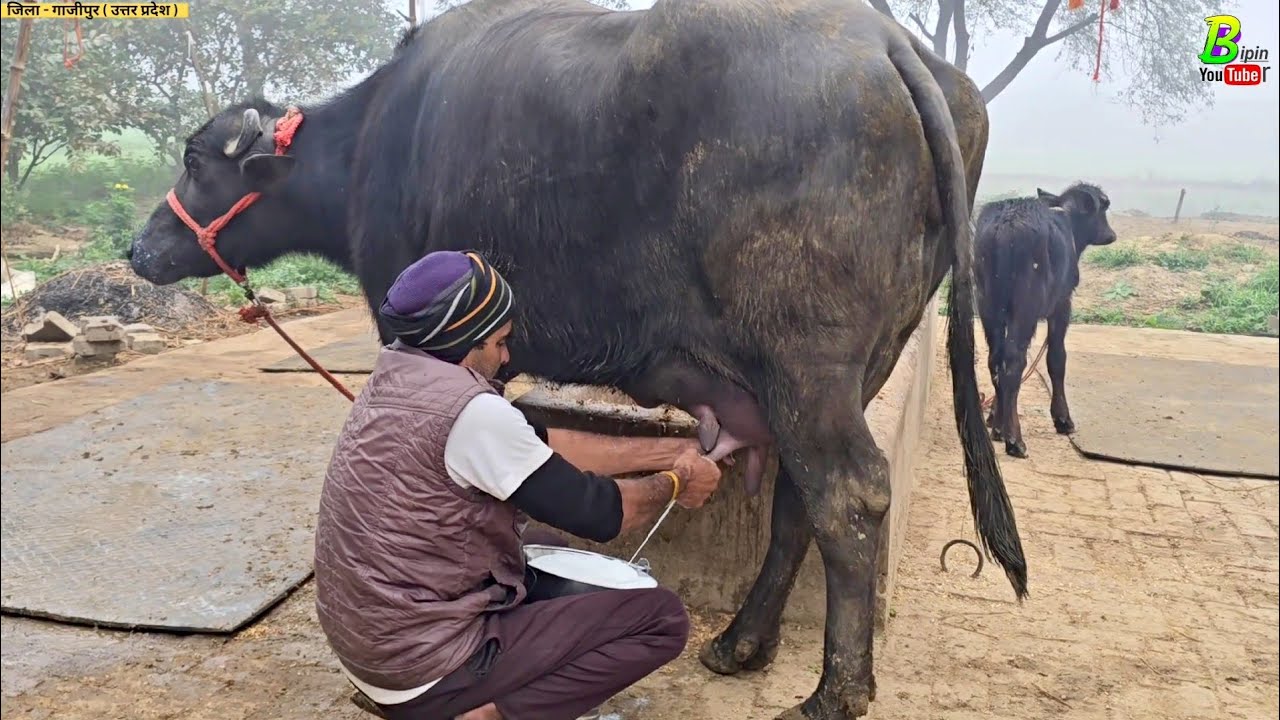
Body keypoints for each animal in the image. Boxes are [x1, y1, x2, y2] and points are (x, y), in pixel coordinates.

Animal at [129, 0, 1028, 717]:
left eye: (197, 162)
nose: (140, 248)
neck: (372, 143)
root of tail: (885, 42)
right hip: (860, 364)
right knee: (800, 500)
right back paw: (740, 644)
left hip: (808, 366)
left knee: (848, 495)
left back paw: (834, 692)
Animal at [974, 182, 1117, 458]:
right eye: (1103, 206)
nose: (1111, 235)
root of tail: (1006, 223)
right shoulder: (1062, 305)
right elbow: (1057, 358)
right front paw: (1063, 419)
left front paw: (994, 420)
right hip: (1025, 306)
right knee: (1013, 362)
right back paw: (1015, 440)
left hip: (987, 303)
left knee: (996, 359)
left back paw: (1000, 428)